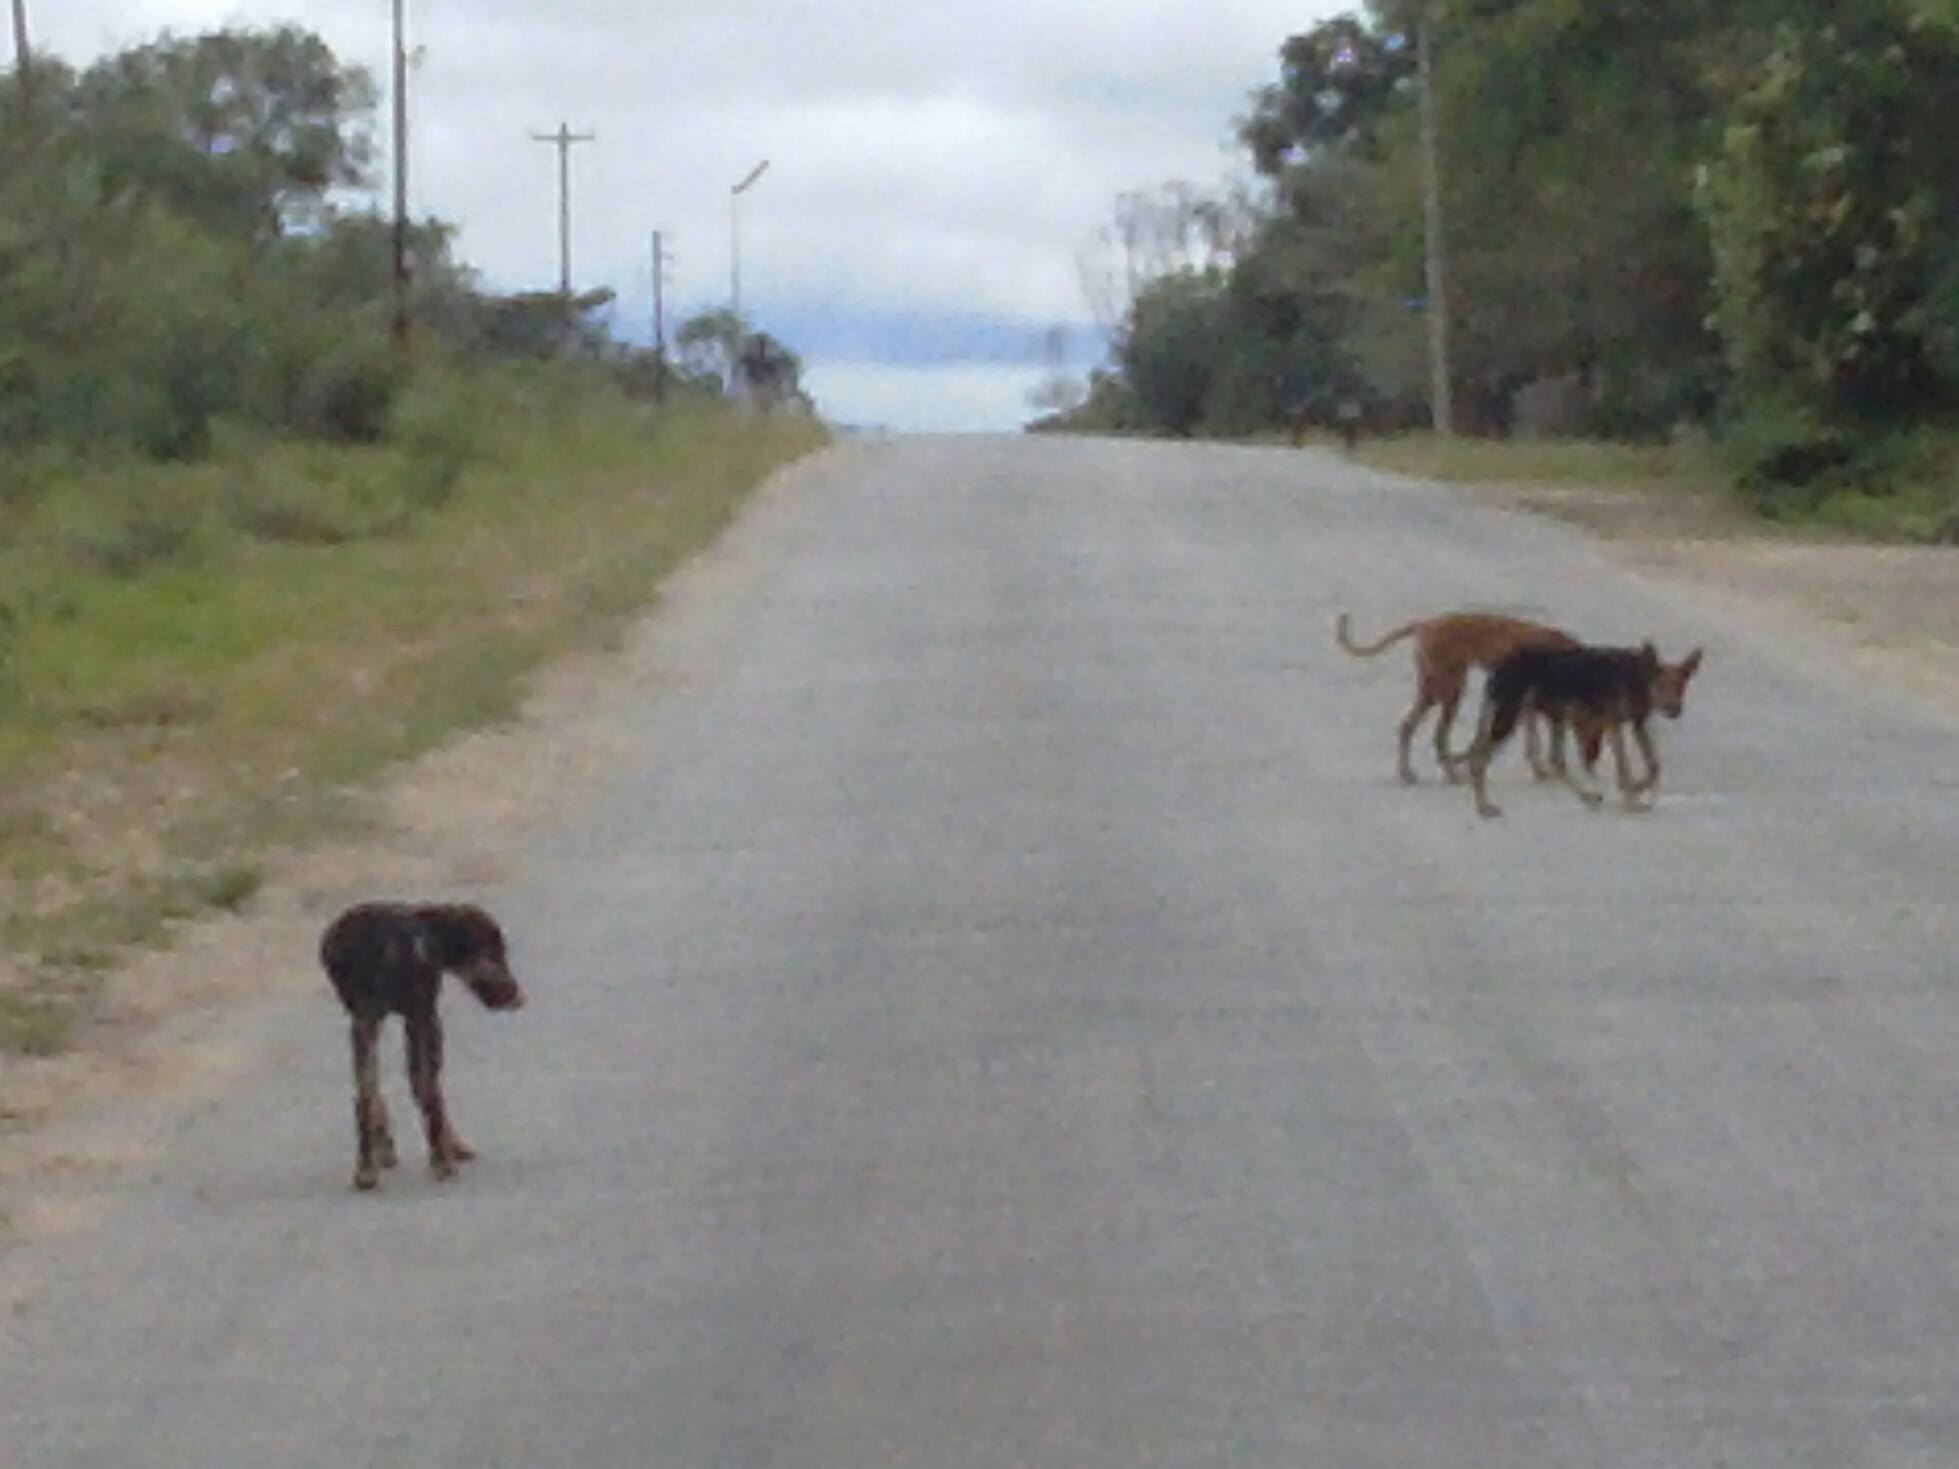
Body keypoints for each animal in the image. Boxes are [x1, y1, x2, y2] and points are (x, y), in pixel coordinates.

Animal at [319, 904, 525, 1190]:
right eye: (494, 951)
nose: (517, 997)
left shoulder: (377, 1018)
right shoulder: (425, 1016)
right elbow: (429, 1088)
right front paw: (451, 1150)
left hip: (364, 1020)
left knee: (365, 1092)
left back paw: (367, 1167)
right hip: (410, 1018)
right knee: (420, 1088)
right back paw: (440, 1162)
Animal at [1339, 611, 1582, 787]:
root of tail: (1426, 624)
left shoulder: (1527, 706)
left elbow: (1532, 741)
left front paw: (1540, 770)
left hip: (1432, 692)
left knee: (1407, 727)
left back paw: (1408, 773)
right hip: (1450, 691)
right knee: (1438, 736)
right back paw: (1453, 775)